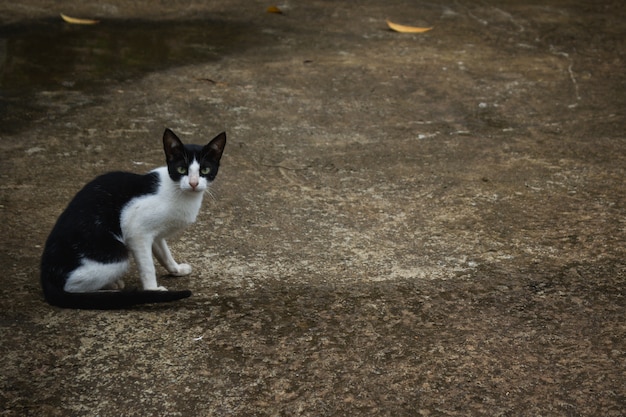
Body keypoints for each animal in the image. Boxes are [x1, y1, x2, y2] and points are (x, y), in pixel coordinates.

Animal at [39, 128, 224, 308]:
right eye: (181, 169)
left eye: (205, 170)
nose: (193, 183)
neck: (179, 191)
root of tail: (46, 273)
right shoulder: (136, 230)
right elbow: (147, 266)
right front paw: (152, 290)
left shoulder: (155, 235)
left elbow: (164, 253)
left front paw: (176, 269)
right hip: (116, 255)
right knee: (72, 287)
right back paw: (112, 293)